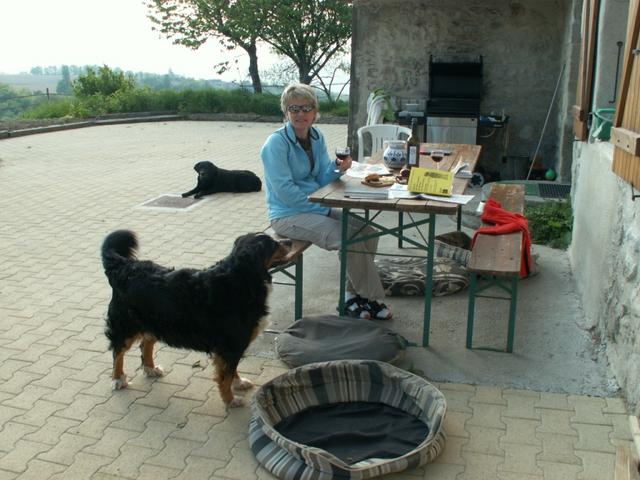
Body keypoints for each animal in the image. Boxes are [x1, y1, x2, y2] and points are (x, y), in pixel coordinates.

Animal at [101, 229, 292, 404]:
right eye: (273, 245)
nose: (289, 241)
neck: (242, 280)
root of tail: (124, 267)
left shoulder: (231, 346)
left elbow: (232, 370)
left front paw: (238, 383)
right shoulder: (231, 344)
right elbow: (226, 375)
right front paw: (230, 399)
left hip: (156, 323)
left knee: (145, 344)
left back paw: (151, 369)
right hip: (126, 325)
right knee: (117, 351)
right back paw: (118, 379)